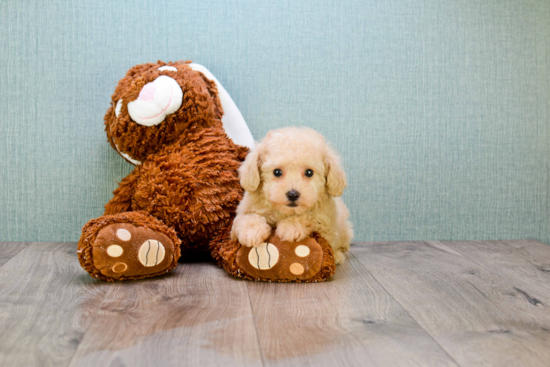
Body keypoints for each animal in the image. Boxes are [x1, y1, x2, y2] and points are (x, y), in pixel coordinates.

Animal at [232, 127, 354, 264]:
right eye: (277, 172)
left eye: (309, 172)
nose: (293, 194)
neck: (285, 212)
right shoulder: (242, 213)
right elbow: (247, 217)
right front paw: (251, 231)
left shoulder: (325, 221)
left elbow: (310, 216)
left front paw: (290, 227)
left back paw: (337, 256)